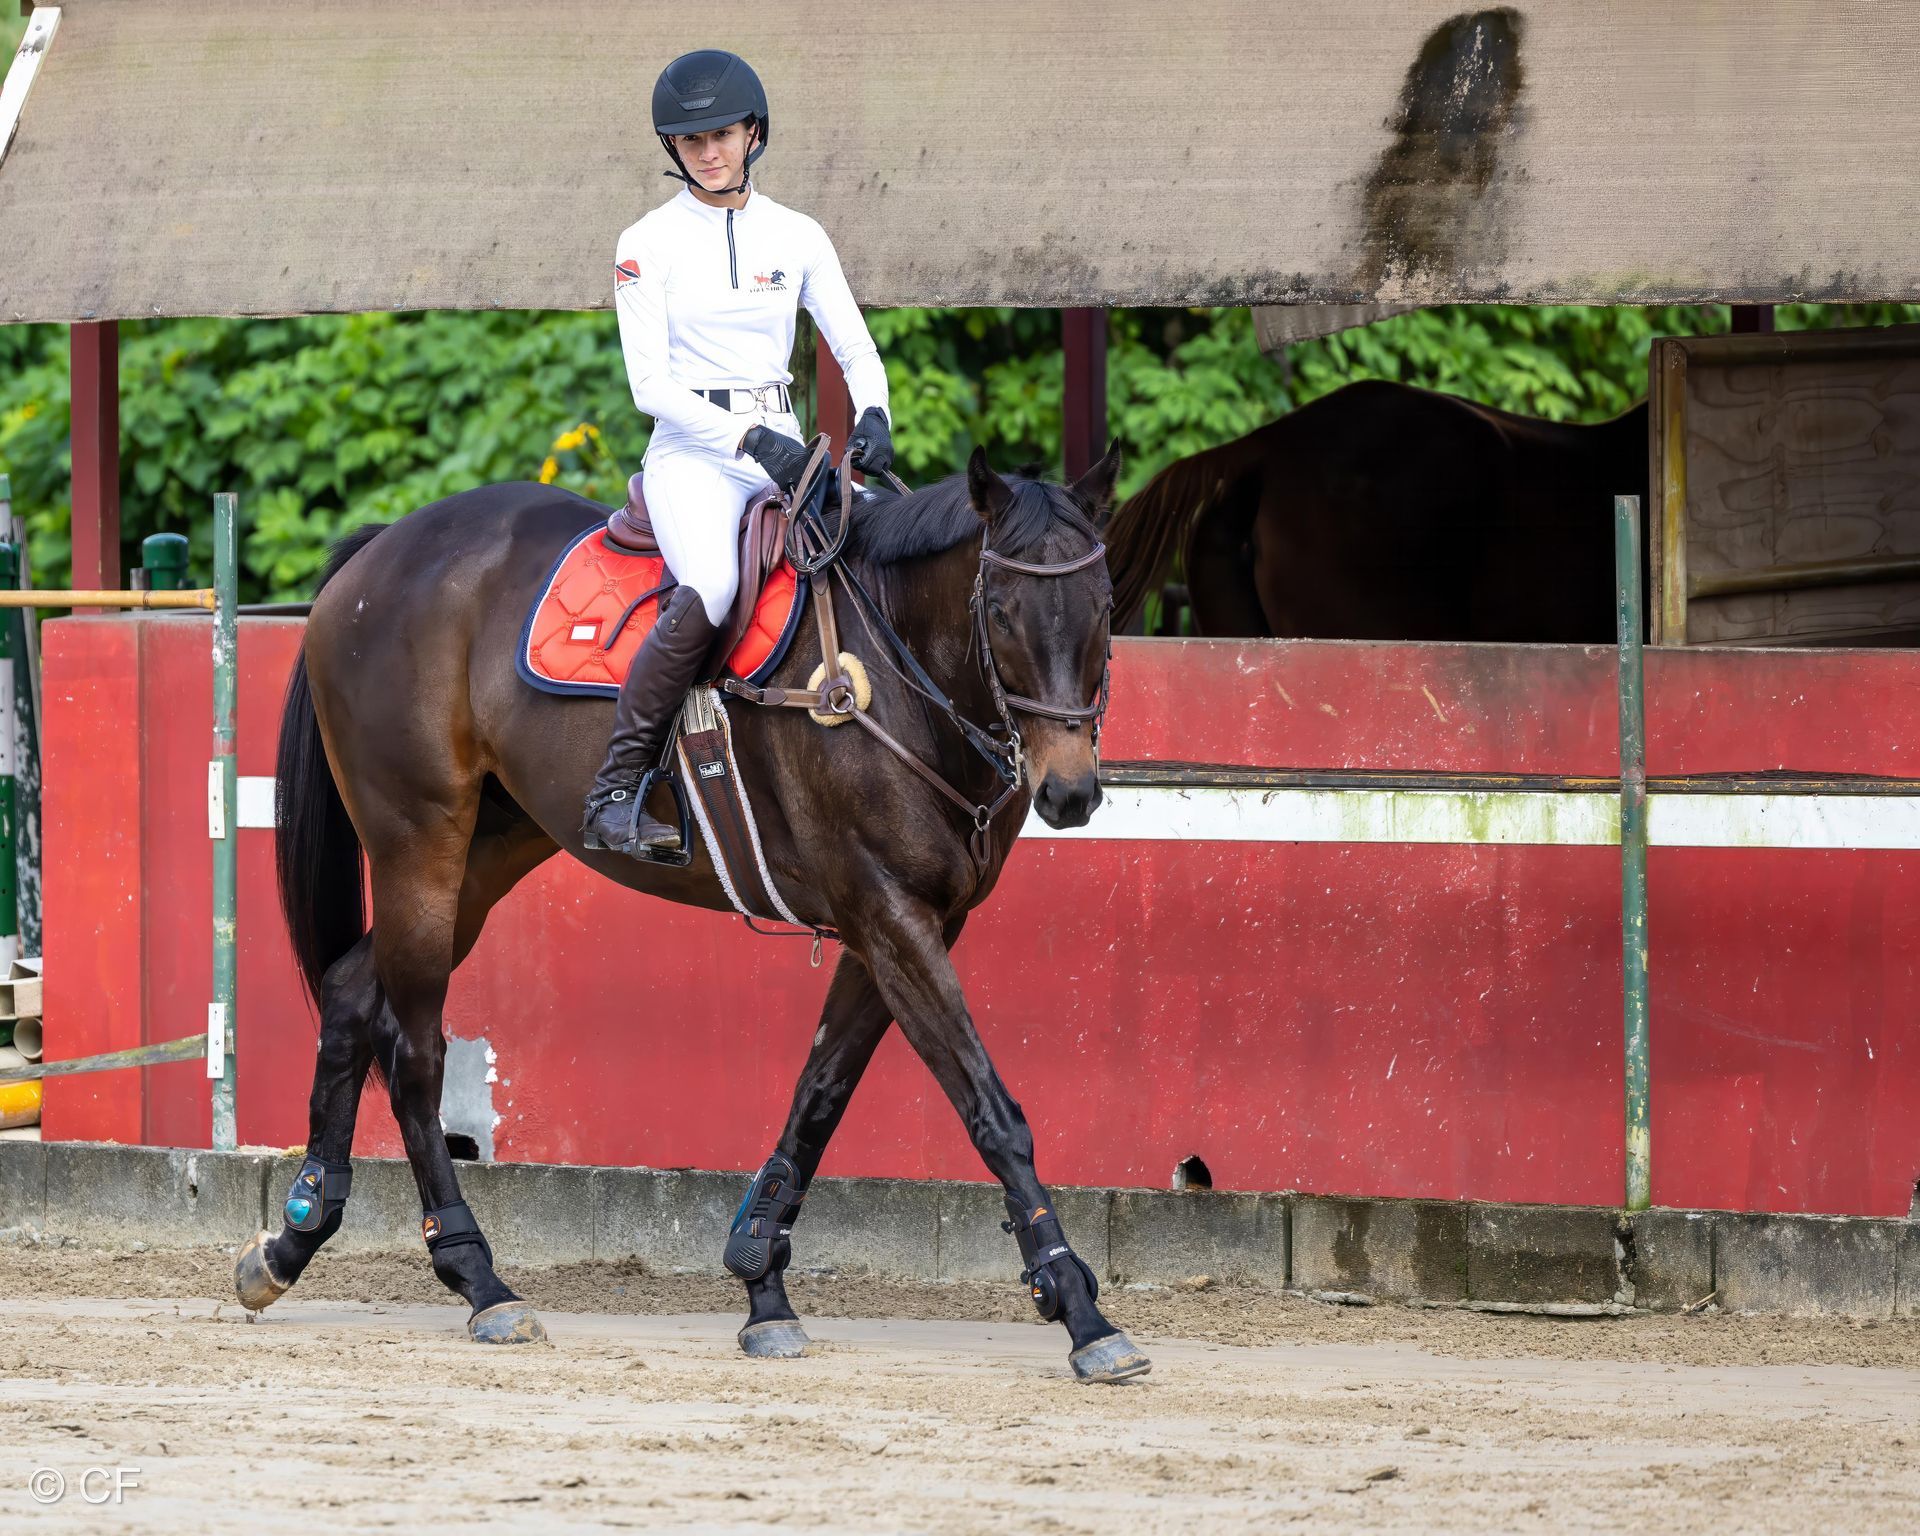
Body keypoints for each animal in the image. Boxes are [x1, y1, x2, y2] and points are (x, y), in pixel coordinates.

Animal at [231, 444, 1153, 1383]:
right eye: (999, 610)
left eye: (1103, 604)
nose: (1070, 791)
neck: (893, 678)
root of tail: (386, 551)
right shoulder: (890, 917)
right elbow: (992, 1113)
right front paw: (1077, 1306)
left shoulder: (899, 926)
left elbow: (820, 1093)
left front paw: (762, 1283)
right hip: (419, 845)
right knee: (415, 1052)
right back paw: (478, 1278)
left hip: (488, 854)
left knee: (351, 990)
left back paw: (293, 1239)